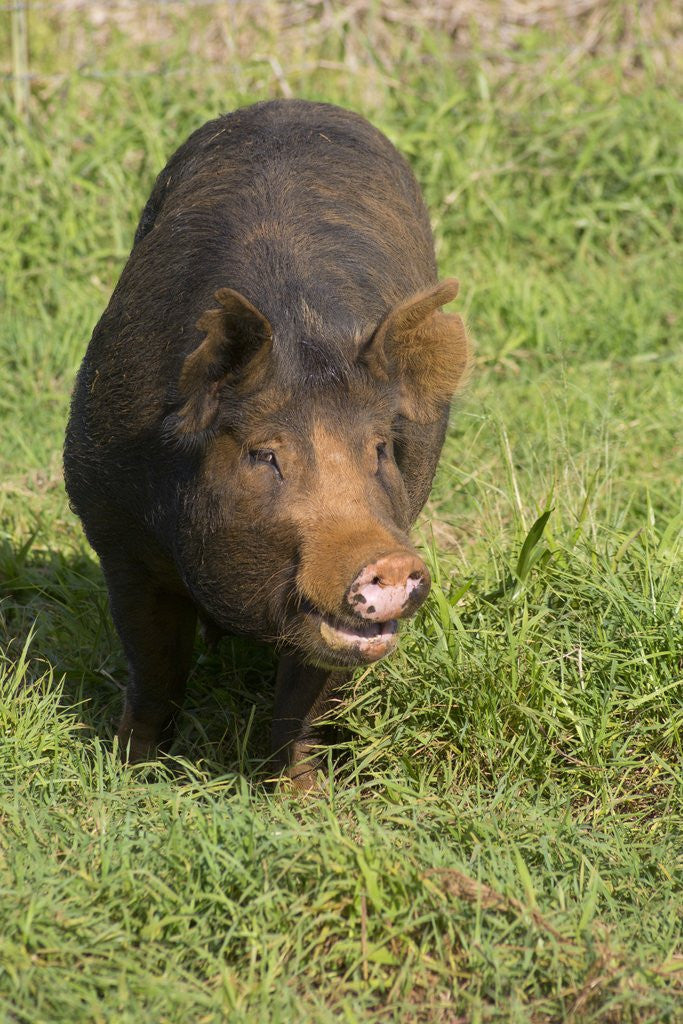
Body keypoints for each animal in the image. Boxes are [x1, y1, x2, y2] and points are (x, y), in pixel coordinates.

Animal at [63, 99, 469, 789]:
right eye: (264, 453)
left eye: (380, 449)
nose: (389, 560)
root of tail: (295, 101)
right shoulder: (115, 531)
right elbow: (153, 666)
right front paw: (130, 772)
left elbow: (306, 700)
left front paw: (301, 796)